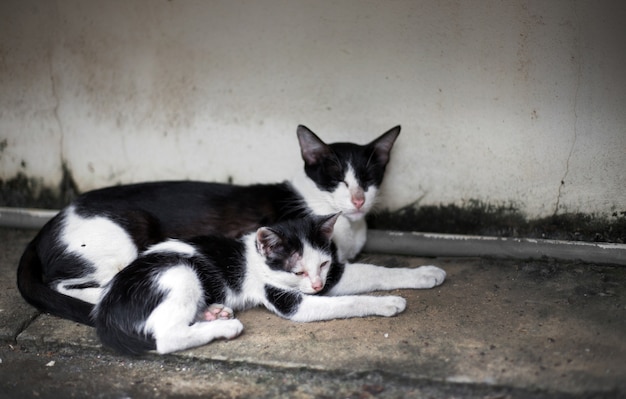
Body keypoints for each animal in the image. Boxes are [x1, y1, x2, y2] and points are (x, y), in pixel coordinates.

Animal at [15, 125, 444, 328]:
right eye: (336, 177)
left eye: (369, 178)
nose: (357, 200)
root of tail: (52, 221)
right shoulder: (321, 269)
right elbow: (371, 272)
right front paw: (420, 277)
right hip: (123, 241)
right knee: (75, 285)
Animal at [94, 212, 444, 356]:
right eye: (297, 272)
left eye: (323, 264)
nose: (316, 286)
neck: (257, 258)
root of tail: (105, 310)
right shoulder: (289, 300)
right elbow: (346, 300)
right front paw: (387, 302)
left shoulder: (332, 276)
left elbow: (370, 270)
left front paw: (425, 274)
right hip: (179, 273)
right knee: (166, 338)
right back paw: (225, 326)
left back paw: (213, 313)